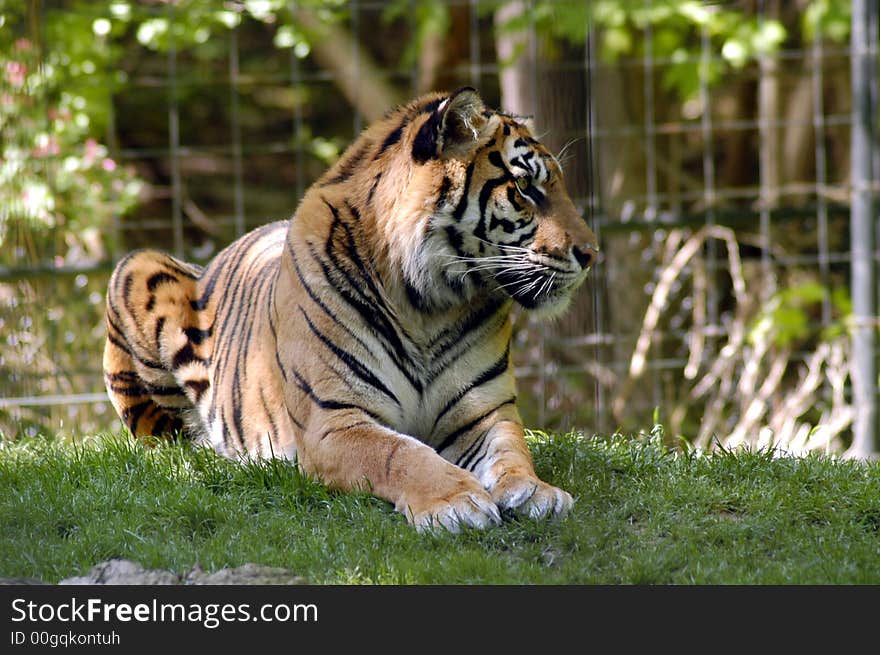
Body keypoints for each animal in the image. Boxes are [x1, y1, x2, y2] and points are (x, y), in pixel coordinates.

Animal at [101, 87, 600, 532]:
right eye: (524, 187)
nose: (592, 254)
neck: (428, 304)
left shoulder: (484, 412)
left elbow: (512, 451)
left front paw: (536, 492)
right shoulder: (334, 420)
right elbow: (402, 454)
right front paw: (456, 501)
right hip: (136, 269)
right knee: (165, 438)